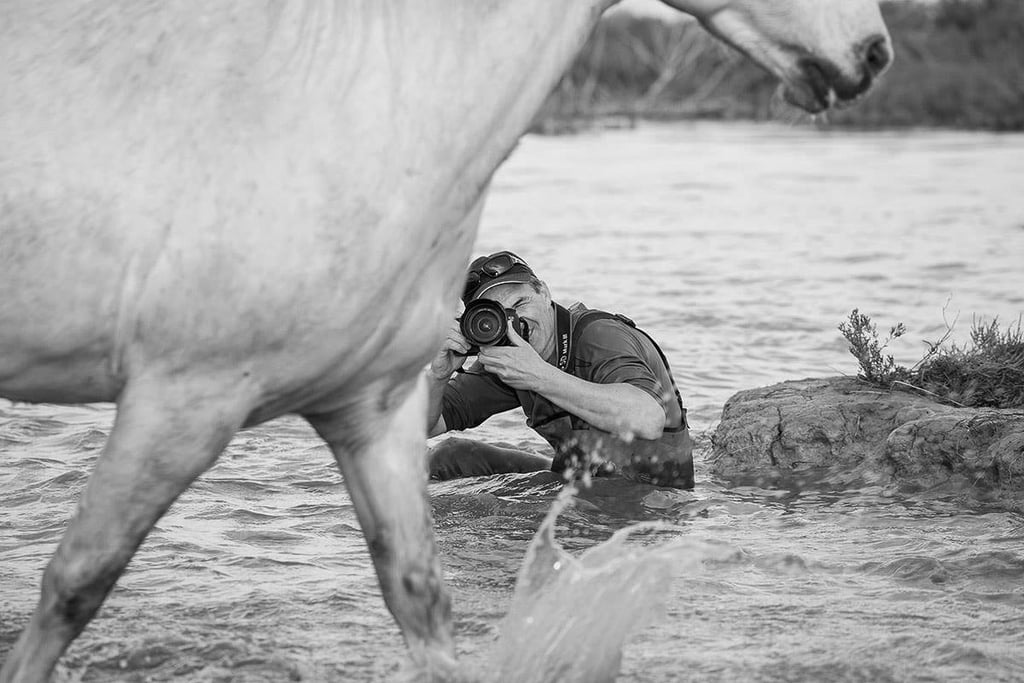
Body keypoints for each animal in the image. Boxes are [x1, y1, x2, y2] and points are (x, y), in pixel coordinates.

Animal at [0, 0, 891, 680]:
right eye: (484, 313)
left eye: (508, 309)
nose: (874, 49)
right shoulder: (186, 391)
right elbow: (75, 584)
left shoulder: (367, 406)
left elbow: (419, 594)